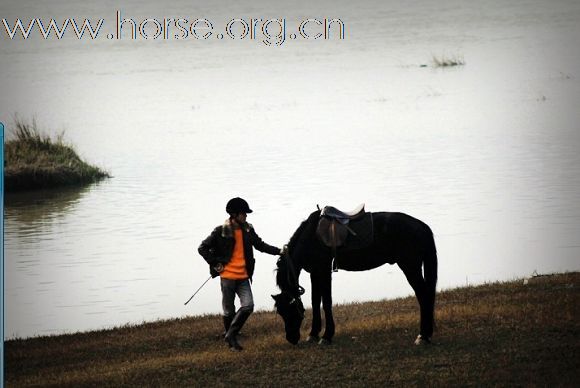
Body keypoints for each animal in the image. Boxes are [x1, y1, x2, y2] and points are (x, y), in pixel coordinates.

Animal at [274, 209, 438, 346]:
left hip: (410, 267)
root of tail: (422, 226)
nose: (291, 339)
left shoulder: (324, 270)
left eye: (289, 309)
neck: (311, 237)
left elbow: (326, 302)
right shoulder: (315, 272)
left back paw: (423, 336)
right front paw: (313, 334)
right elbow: (315, 302)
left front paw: (326, 336)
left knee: (423, 296)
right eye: (280, 311)